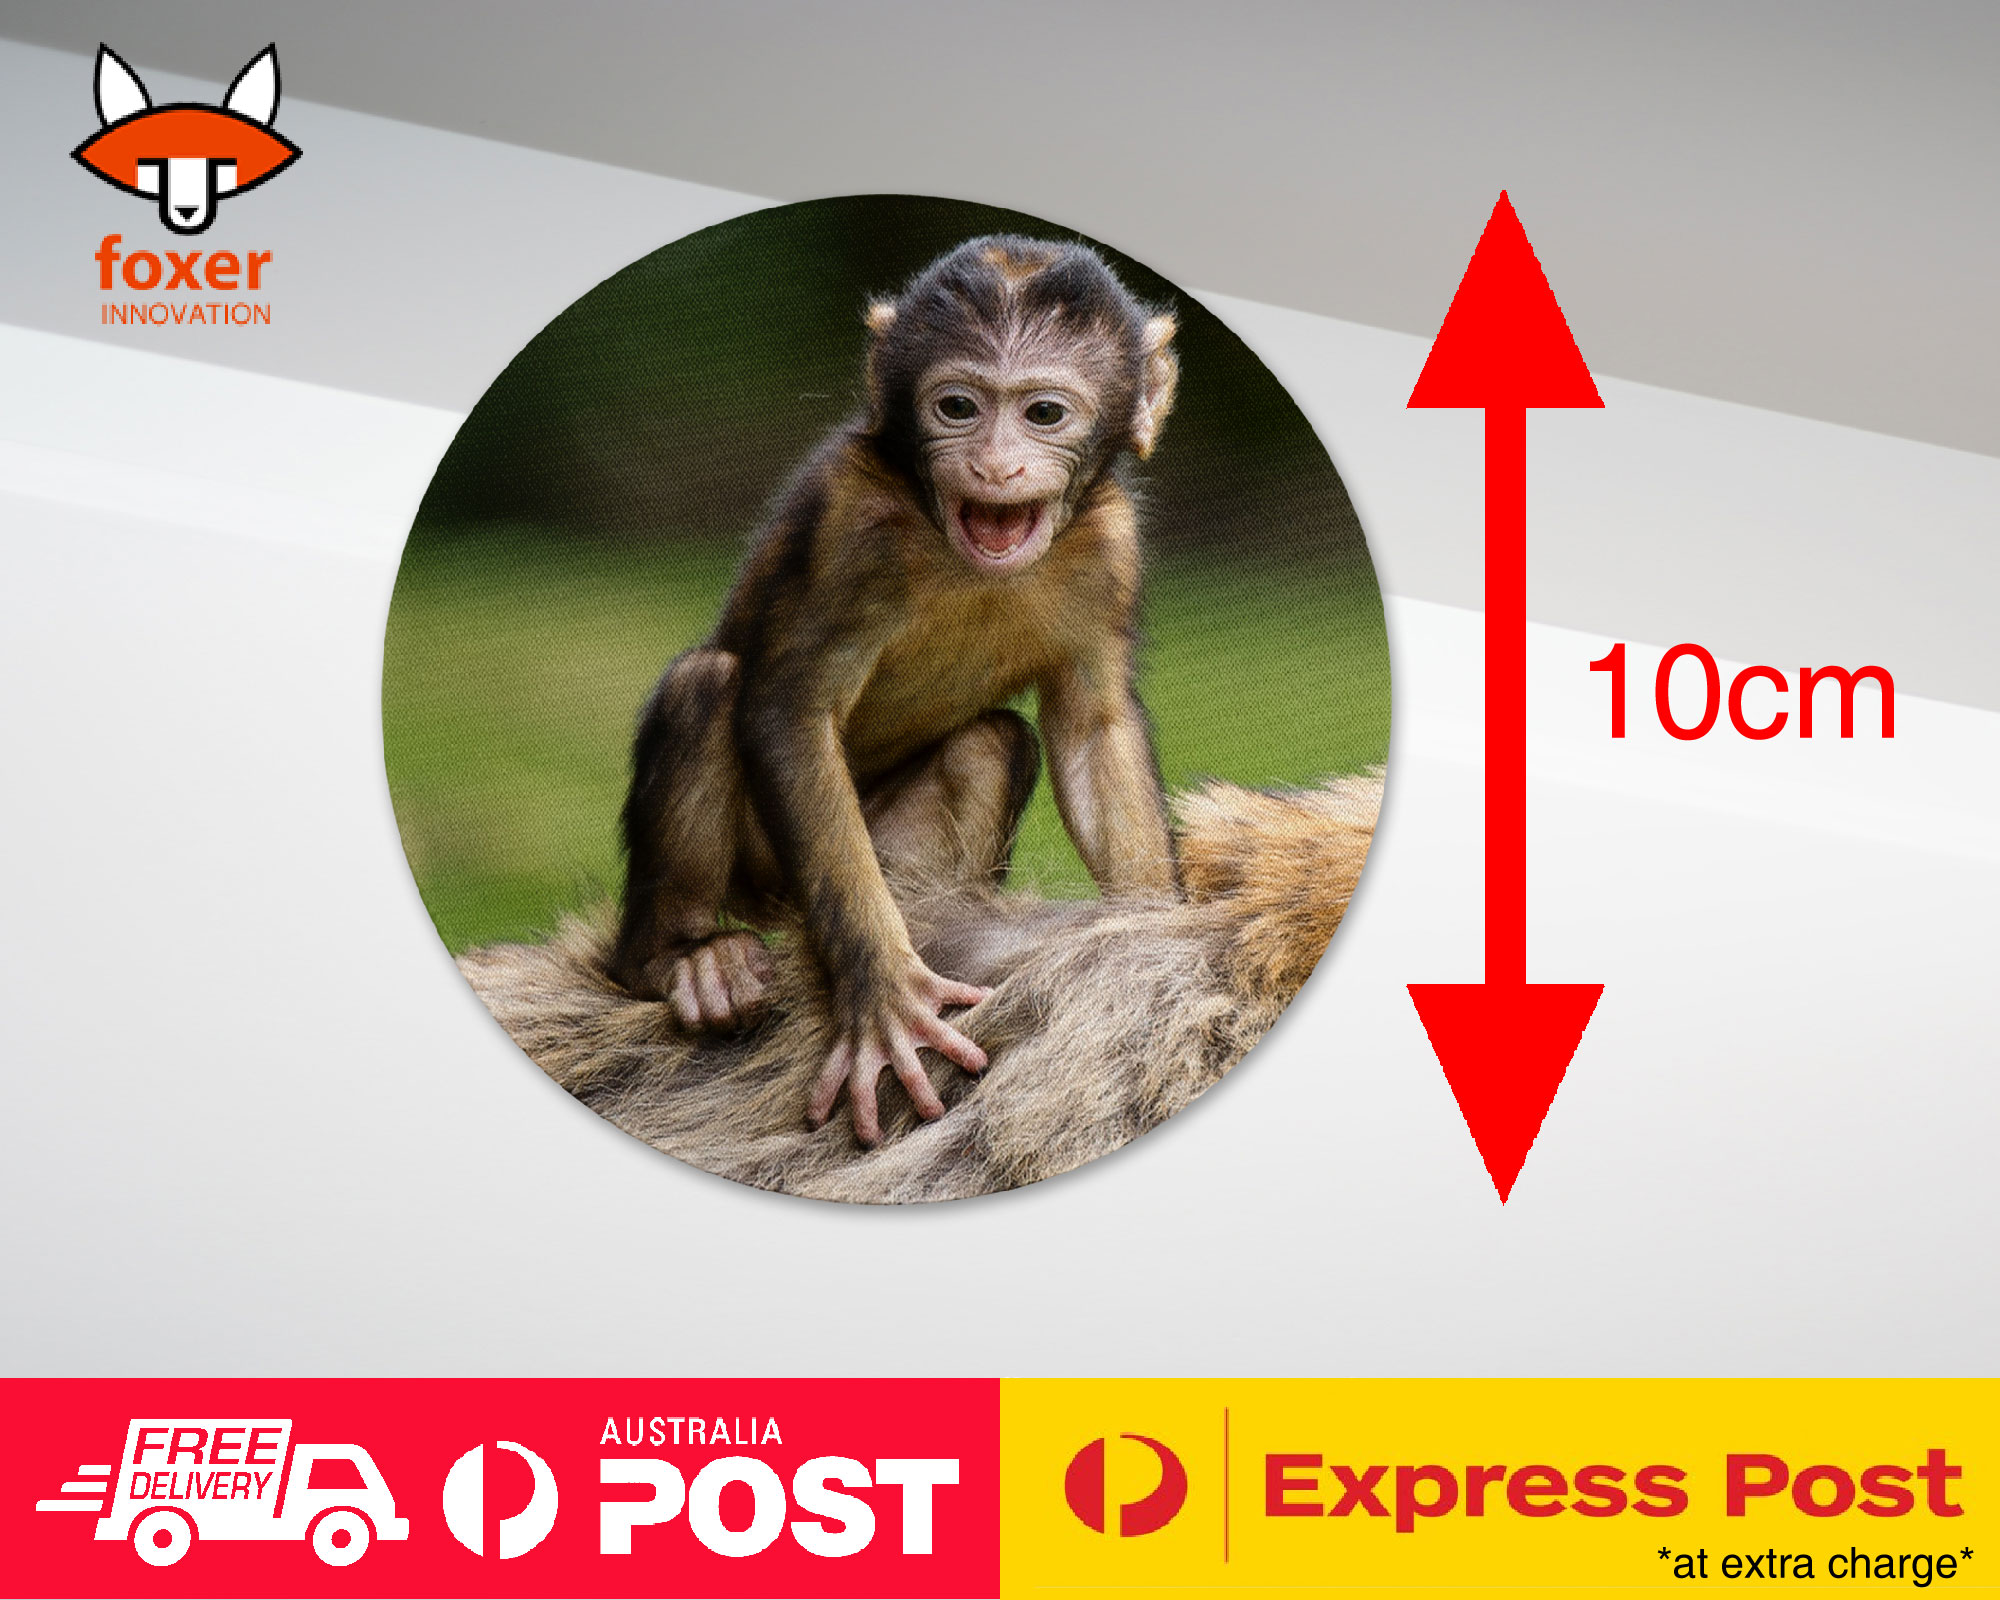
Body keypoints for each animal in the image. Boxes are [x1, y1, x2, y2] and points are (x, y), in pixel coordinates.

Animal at [610, 234, 1181, 1145]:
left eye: (1043, 414)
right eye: (957, 406)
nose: (994, 464)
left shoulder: (1109, 547)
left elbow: (1094, 730)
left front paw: (1151, 945)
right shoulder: (851, 524)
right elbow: (791, 711)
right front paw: (882, 996)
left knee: (991, 743)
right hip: (764, 878)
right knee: (710, 686)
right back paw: (680, 959)